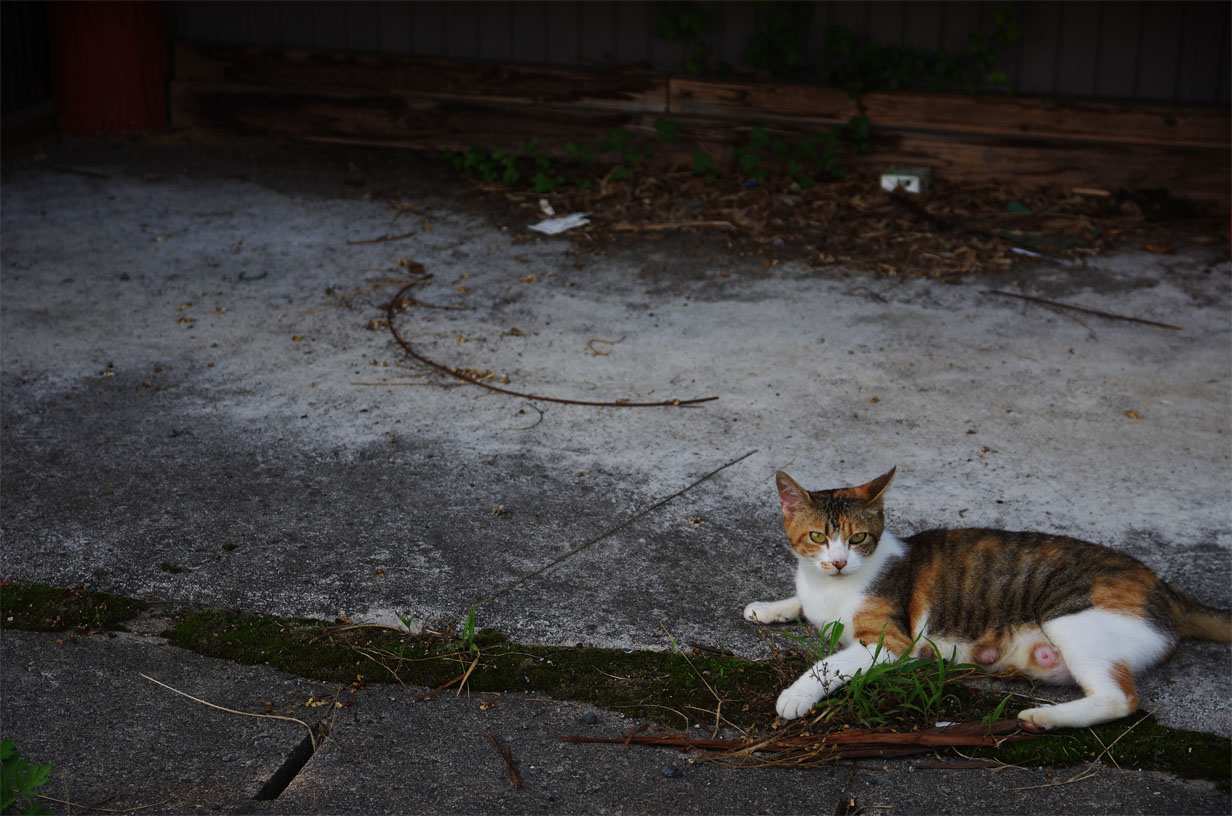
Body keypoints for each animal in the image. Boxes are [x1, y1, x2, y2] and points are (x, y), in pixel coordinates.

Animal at [739, 470, 1232, 729]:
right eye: (818, 538)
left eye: (858, 538)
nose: (839, 561)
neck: (831, 587)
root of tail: (1166, 588)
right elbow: (798, 602)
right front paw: (768, 607)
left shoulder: (888, 642)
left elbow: (828, 665)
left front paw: (795, 695)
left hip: (1070, 615)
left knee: (1121, 700)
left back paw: (1042, 718)